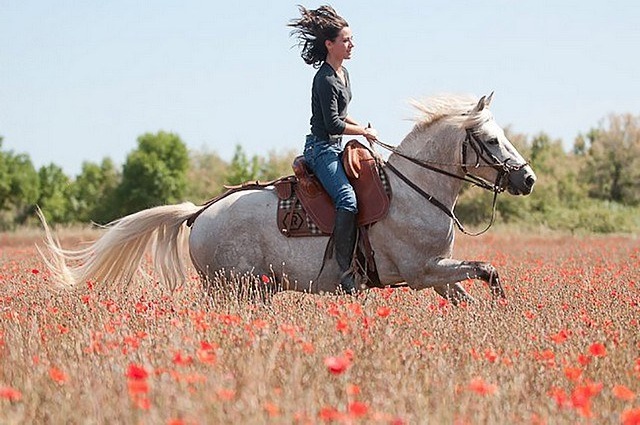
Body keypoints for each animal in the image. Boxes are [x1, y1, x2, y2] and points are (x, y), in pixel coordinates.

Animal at [38, 92, 536, 302]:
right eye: (492, 140)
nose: (528, 180)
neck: (415, 193)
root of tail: (200, 214)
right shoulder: (421, 272)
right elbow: (486, 271)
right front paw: (502, 303)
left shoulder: (438, 272)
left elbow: (467, 294)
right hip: (233, 289)